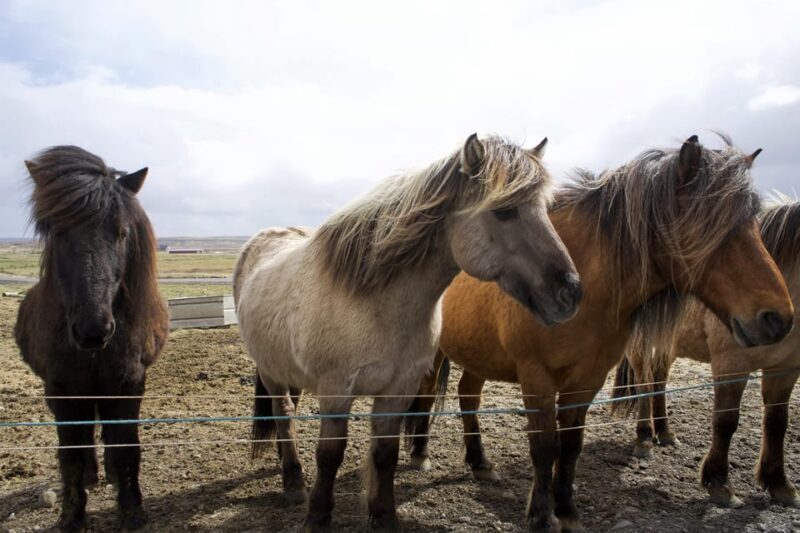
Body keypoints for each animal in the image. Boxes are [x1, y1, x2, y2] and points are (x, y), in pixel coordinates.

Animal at [14, 146, 168, 532]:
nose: (92, 330)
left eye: (121, 233)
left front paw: (131, 511)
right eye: (57, 231)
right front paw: (72, 516)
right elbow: (70, 455)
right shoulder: (62, 390)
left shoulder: (128, 385)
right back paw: (92, 476)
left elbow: (126, 448)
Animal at [233, 134, 583, 532]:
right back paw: (293, 483)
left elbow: (385, 455)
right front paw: (318, 518)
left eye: (544, 209)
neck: (376, 302)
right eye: (504, 210)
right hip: (271, 372)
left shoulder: (398, 389)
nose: (570, 293)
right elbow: (329, 456)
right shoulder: (337, 391)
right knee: (283, 414)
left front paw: (384, 517)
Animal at [612, 197, 800, 508]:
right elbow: (726, 422)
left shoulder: (784, 370)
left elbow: (777, 423)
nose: (777, 321)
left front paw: (779, 484)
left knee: (658, 381)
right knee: (645, 384)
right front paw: (719, 483)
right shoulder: (731, 365)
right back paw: (645, 438)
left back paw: (665, 432)